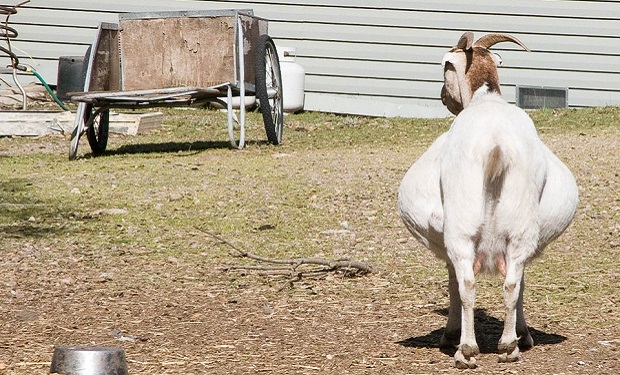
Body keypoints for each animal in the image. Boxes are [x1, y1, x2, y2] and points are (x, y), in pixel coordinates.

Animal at [400, 31, 580, 368]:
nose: (443, 98)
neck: (487, 99)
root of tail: (496, 145)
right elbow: (520, 282)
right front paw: (523, 335)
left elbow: (454, 282)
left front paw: (450, 335)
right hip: (520, 227)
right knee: (511, 283)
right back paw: (509, 346)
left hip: (461, 226)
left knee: (467, 284)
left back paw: (466, 351)